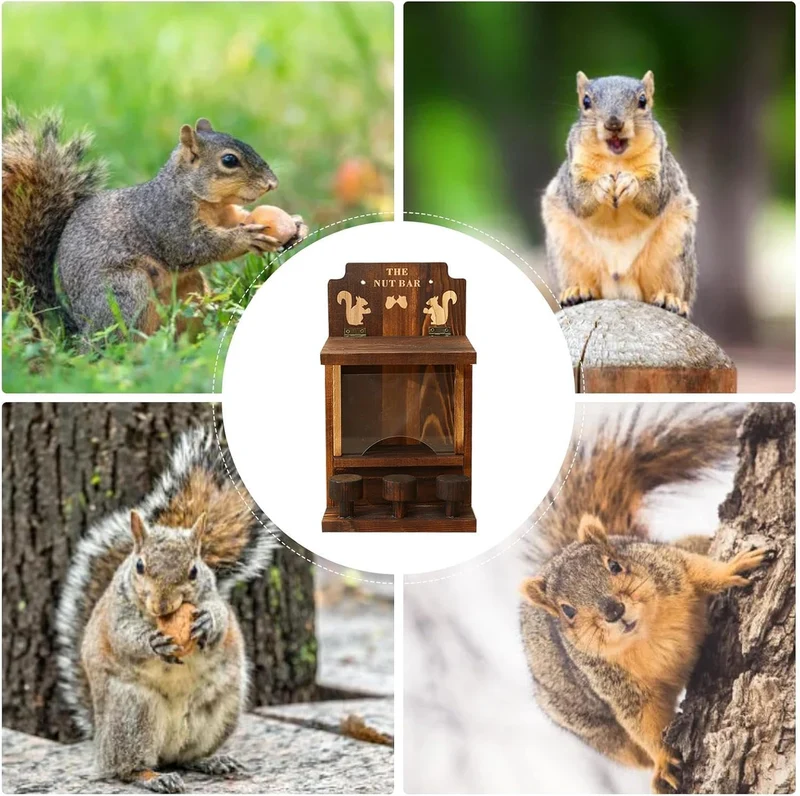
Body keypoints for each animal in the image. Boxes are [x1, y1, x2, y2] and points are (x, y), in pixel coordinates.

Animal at [2, 106, 307, 338]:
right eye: (229, 160)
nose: (272, 183)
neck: (201, 199)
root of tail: (79, 330)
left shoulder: (226, 214)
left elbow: (240, 219)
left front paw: (296, 224)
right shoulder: (167, 220)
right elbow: (194, 247)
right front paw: (246, 238)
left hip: (189, 289)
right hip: (125, 291)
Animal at [55, 428, 276, 793]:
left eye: (194, 571)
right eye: (140, 566)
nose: (162, 604)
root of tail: (100, 742)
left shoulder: (214, 596)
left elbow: (221, 617)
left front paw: (206, 623)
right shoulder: (117, 613)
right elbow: (124, 637)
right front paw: (152, 642)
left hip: (220, 711)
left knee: (186, 757)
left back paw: (212, 761)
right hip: (133, 714)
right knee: (125, 768)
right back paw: (151, 777)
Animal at [519, 407, 774, 793]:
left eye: (615, 564)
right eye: (567, 611)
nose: (613, 610)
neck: (648, 632)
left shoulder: (667, 566)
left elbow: (699, 569)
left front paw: (732, 567)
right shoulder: (617, 686)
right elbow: (644, 722)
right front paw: (664, 760)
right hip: (594, 728)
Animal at [542, 72, 698, 317]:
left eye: (643, 101)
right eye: (586, 101)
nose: (613, 123)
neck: (615, 160)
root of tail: (619, 282)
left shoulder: (660, 166)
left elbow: (654, 197)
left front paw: (629, 183)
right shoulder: (574, 167)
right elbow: (579, 199)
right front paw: (601, 186)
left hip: (673, 253)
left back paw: (669, 298)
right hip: (566, 254)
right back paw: (576, 291)